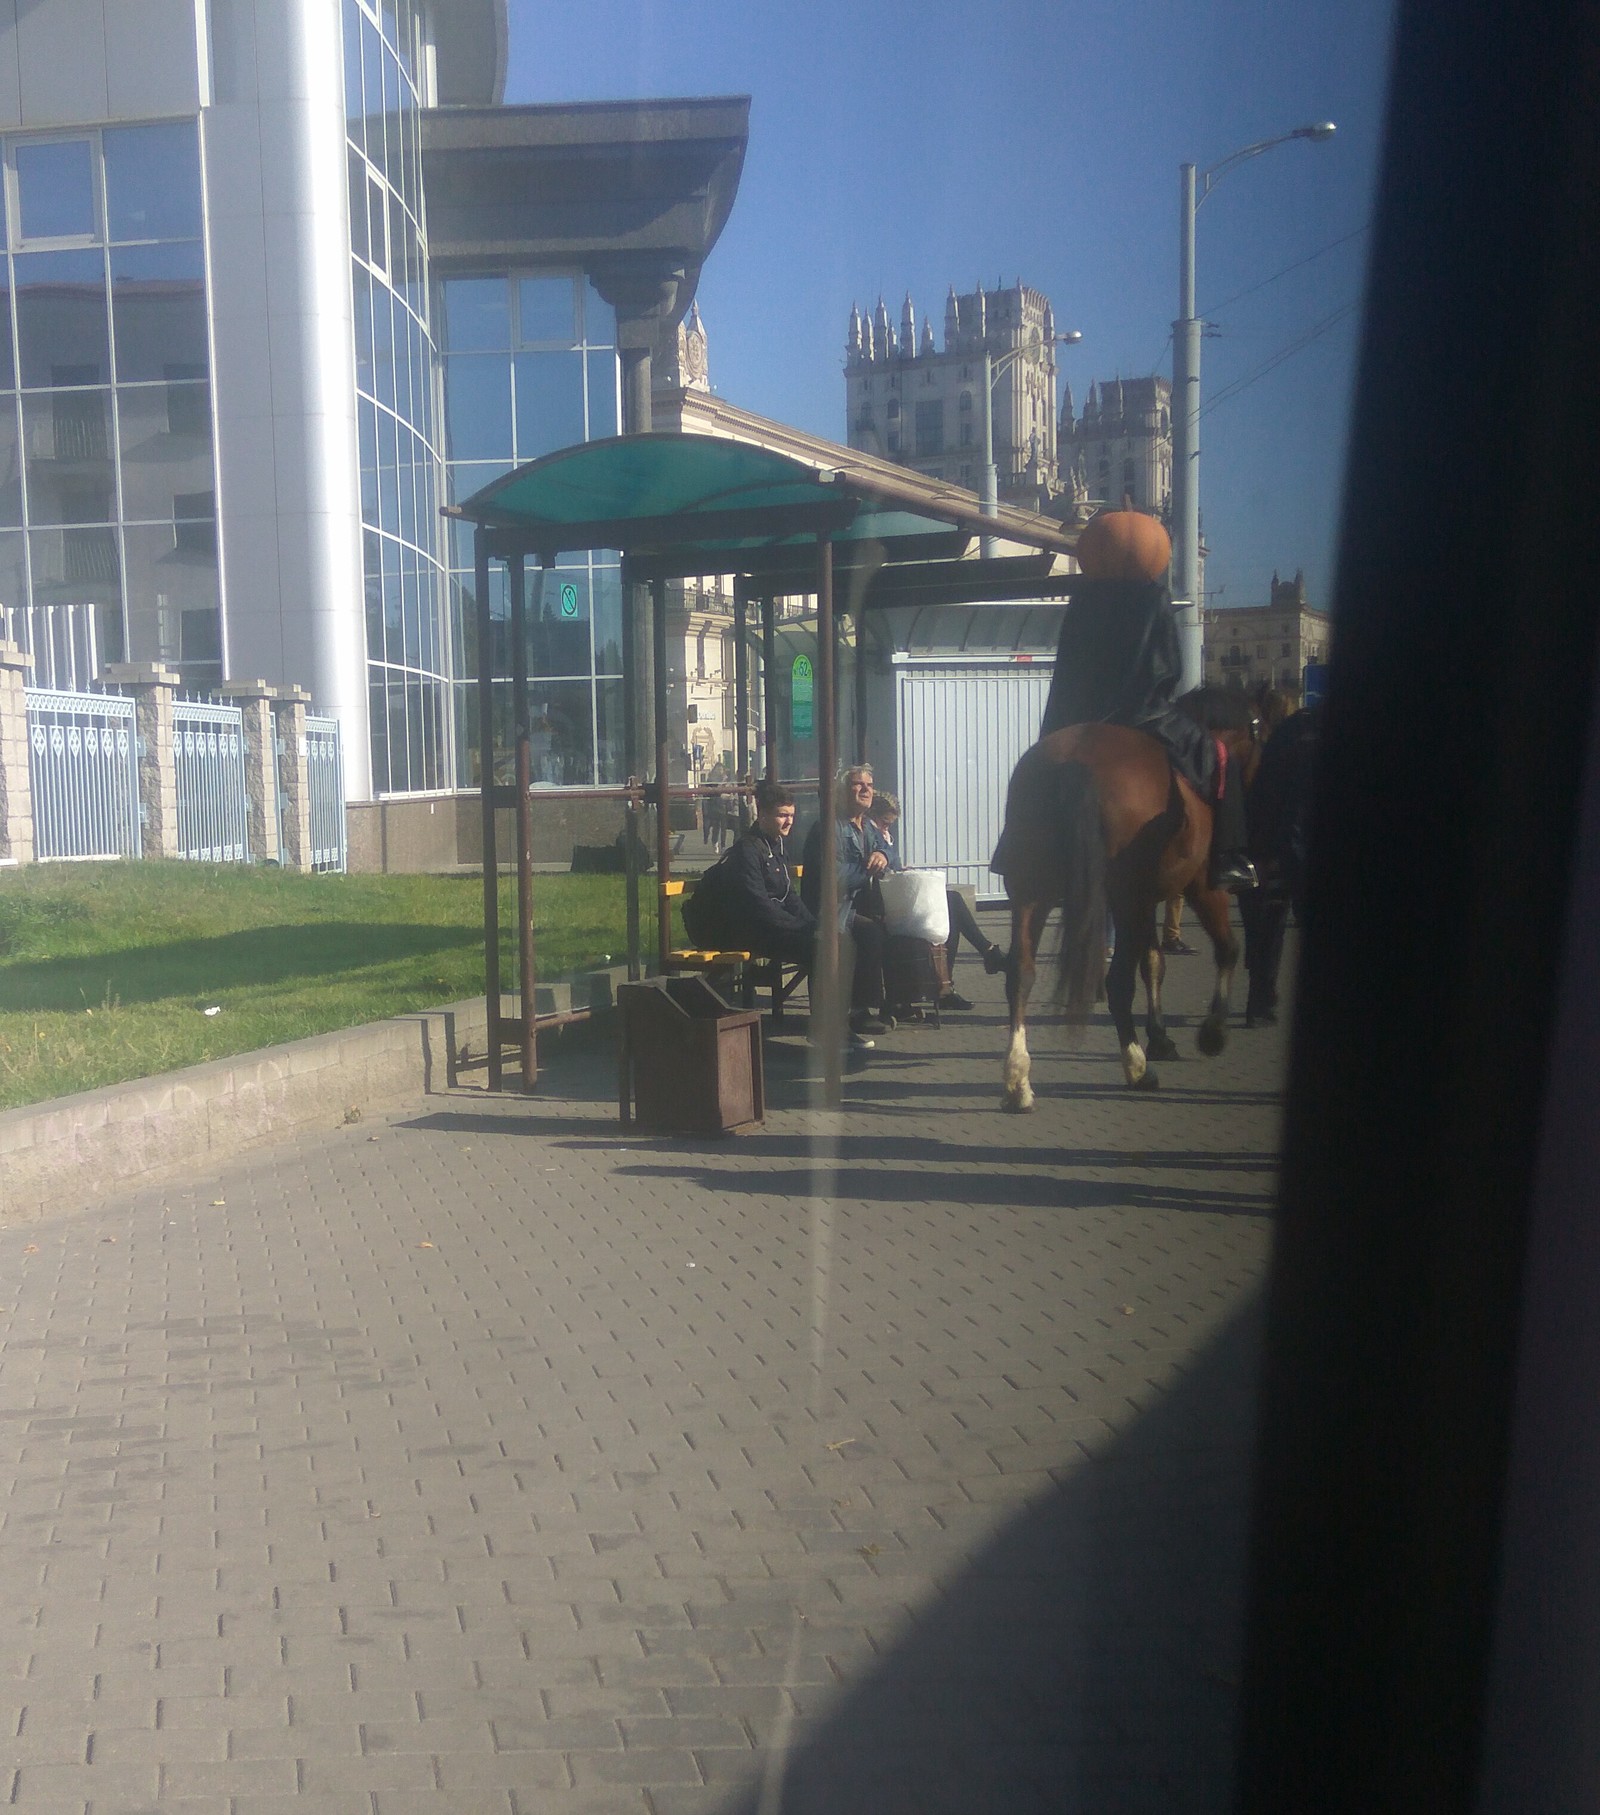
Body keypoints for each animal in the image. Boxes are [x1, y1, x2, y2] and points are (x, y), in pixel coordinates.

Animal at [986, 704, 1262, 1103]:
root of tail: (1077, 762)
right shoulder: (1199, 887)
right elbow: (1226, 949)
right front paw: (1212, 1032)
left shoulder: (1143, 902)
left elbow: (1154, 963)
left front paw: (1161, 1037)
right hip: (1126, 898)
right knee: (1117, 982)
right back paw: (1137, 1067)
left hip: (1032, 893)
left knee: (1020, 974)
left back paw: (1018, 1080)